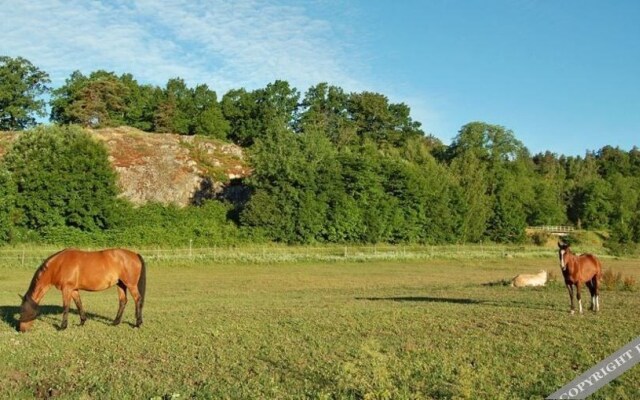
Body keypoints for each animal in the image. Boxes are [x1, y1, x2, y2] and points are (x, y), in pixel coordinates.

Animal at [19, 248, 147, 332]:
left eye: (24, 311)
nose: (21, 330)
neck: (59, 265)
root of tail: (135, 254)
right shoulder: (74, 290)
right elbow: (79, 304)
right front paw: (82, 322)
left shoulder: (67, 289)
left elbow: (66, 306)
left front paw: (62, 327)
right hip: (120, 284)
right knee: (123, 301)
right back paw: (115, 323)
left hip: (131, 284)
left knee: (138, 299)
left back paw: (137, 324)